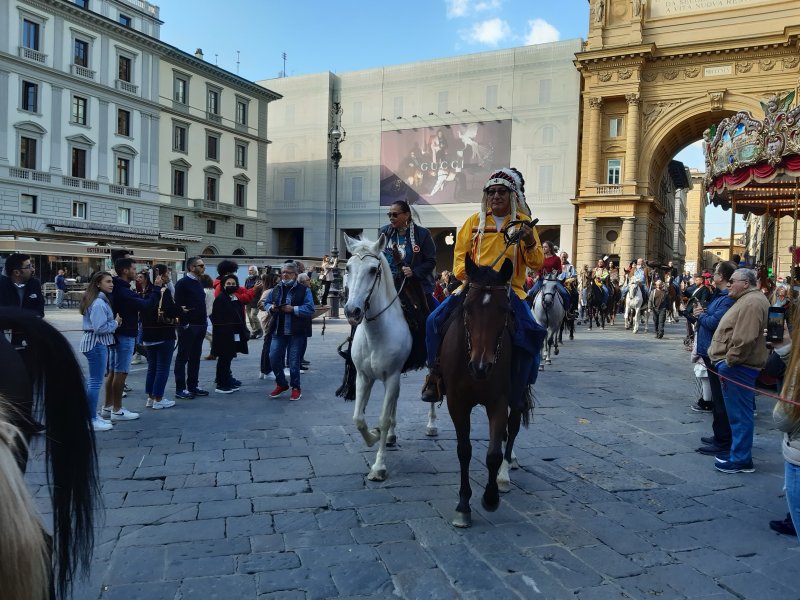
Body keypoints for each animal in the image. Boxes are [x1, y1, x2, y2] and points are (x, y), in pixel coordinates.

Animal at [342, 234, 437, 482]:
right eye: (347, 267)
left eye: (373, 270)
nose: (352, 311)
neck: (376, 331)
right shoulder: (363, 377)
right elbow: (358, 419)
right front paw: (374, 436)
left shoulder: (392, 375)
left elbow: (383, 419)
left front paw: (378, 466)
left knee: (432, 390)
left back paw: (431, 424)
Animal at [439, 255, 531, 528]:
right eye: (468, 308)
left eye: (505, 310)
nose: (481, 366)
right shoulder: (456, 402)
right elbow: (464, 450)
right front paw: (463, 505)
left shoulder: (498, 401)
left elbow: (493, 454)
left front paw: (490, 498)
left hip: (518, 394)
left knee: (512, 429)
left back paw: (504, 474)